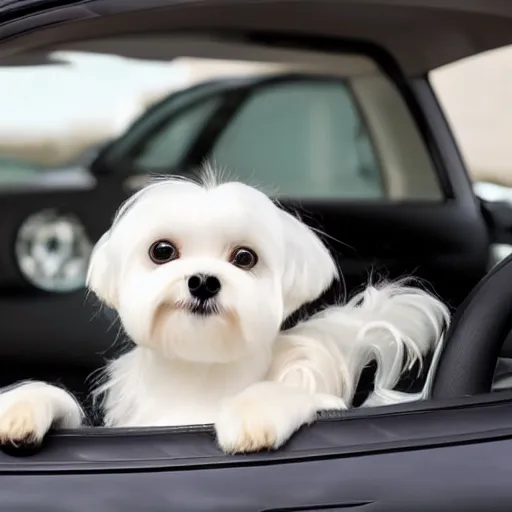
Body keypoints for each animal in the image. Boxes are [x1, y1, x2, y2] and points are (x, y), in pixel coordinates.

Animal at [0, 171, 448, 452]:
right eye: (162, 251)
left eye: (245, 257)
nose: (202, 281)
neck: (201, 369)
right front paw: (19, 407)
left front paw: (253, 414)